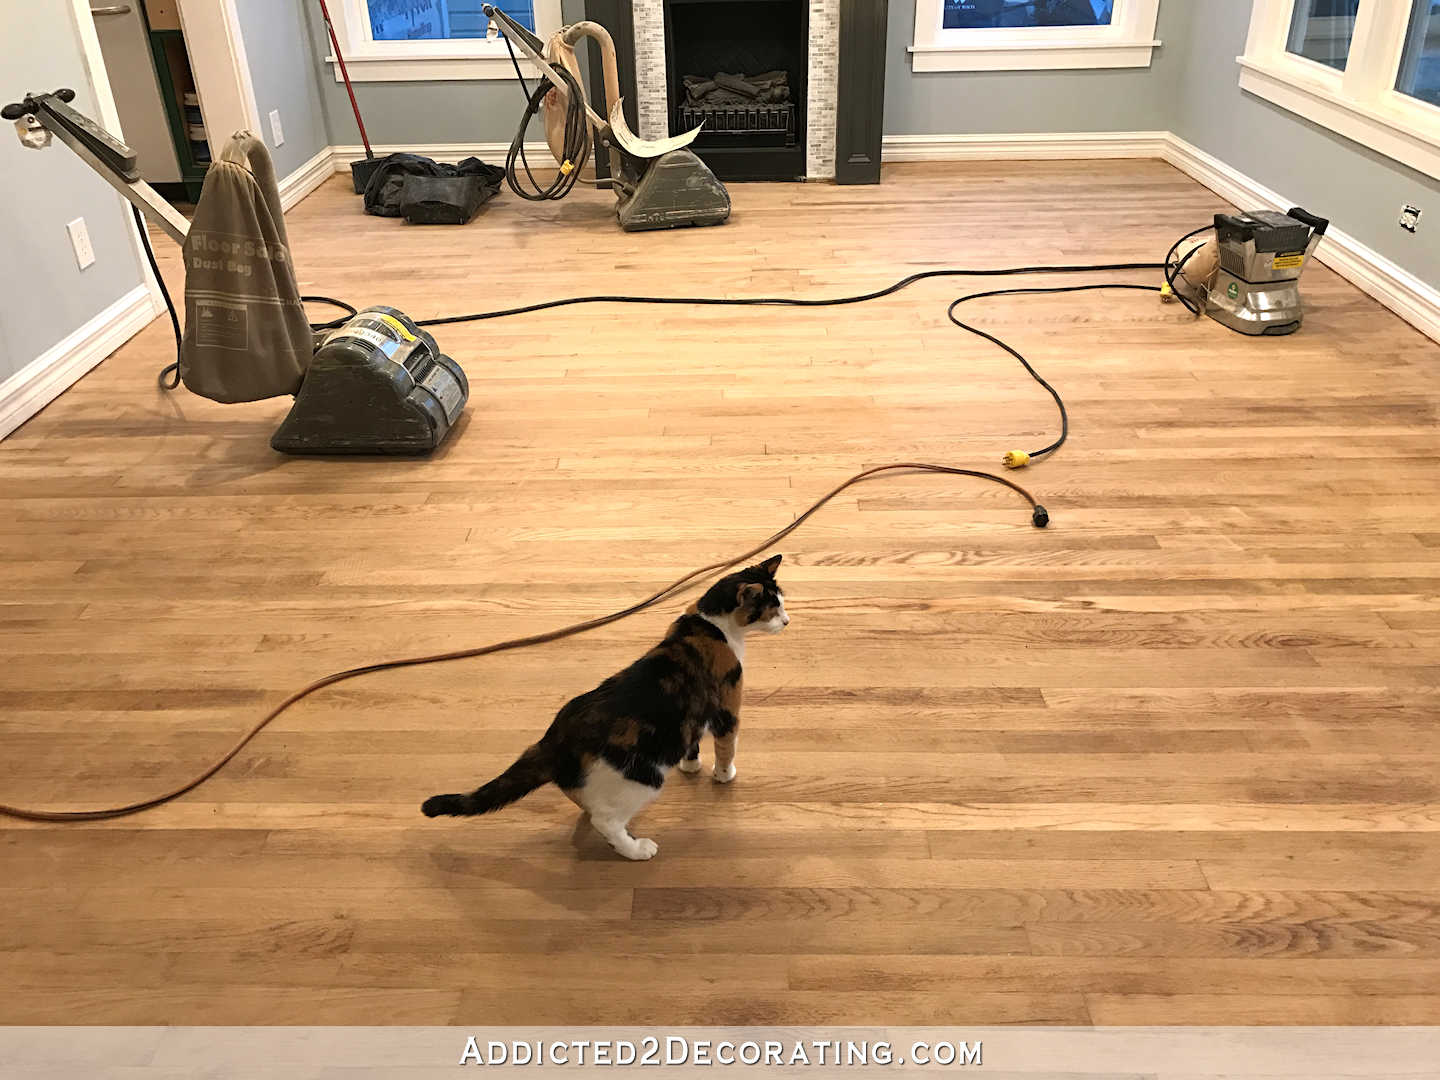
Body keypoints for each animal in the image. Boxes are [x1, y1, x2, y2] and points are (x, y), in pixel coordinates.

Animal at [420, 558, 794, 864]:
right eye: (772, 608)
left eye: (782, 601)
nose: (788, 621)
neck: (709, 625)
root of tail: (555, 741)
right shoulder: (727, 707)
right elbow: (726, 746)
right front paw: (723, 775)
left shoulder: (692, 717)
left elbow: (691, 742)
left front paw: (690, 766)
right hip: (643, 779)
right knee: (606, 821)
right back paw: (636, 848)